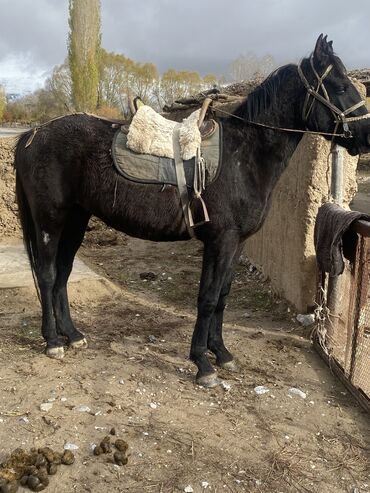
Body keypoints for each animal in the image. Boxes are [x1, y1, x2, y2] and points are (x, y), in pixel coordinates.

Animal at [13, 36, 370, 386]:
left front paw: (221, 353)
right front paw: (203, 363)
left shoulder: (235, 243)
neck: (244, 156)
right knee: (46, 275)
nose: (366, 135)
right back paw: (53, 341)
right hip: (50, 221)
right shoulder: (221, 241)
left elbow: (222, 296)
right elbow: (208, 298)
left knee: (62, 275)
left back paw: (72, 335)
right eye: (339, 86)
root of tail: (33, 134)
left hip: (76, 219)